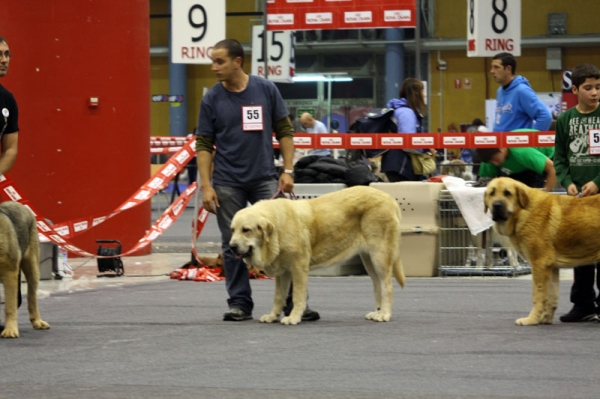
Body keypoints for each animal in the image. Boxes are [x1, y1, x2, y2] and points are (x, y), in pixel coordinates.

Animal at [0, 202, 50, 340]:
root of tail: (20, 204)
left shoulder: (10, 273)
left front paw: (10, 329)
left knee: (31, 297)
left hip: (32, 268)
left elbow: (10, 306)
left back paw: (37, 321)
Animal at [227, 187, 406, 324]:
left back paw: (384, 314)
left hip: (380, 256)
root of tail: (389, 198)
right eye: (232, 230)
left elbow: (298, 296)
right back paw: (378, 312)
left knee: (387, 286)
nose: (232, 247)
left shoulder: (298, 268)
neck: (278, 228)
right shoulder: (283, 272)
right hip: (369, 260)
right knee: (377, 285)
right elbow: (278, 296)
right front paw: (272, 316)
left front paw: (293, 317)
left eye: (246, 230)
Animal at [482, 180, 600, 326]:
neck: (523, 210)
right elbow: (551, 296)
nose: (497, 205)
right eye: (491, 193)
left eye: (507, 193)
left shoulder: (540, 264)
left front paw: (531, 319)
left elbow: (537, 295)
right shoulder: (551, 267)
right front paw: (545, 318)